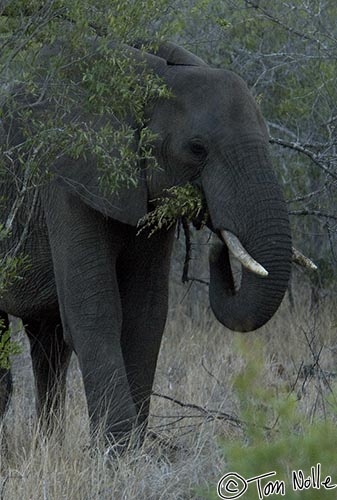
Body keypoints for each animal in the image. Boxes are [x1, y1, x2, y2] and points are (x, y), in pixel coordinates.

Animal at [0, 41, 292, 444]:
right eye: (197, 148)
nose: (217, 241)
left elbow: (147, 311)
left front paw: (137, 447)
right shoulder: (65, 178)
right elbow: (94, 308)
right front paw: (118, 447)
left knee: (48, 343)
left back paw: (49, 444)